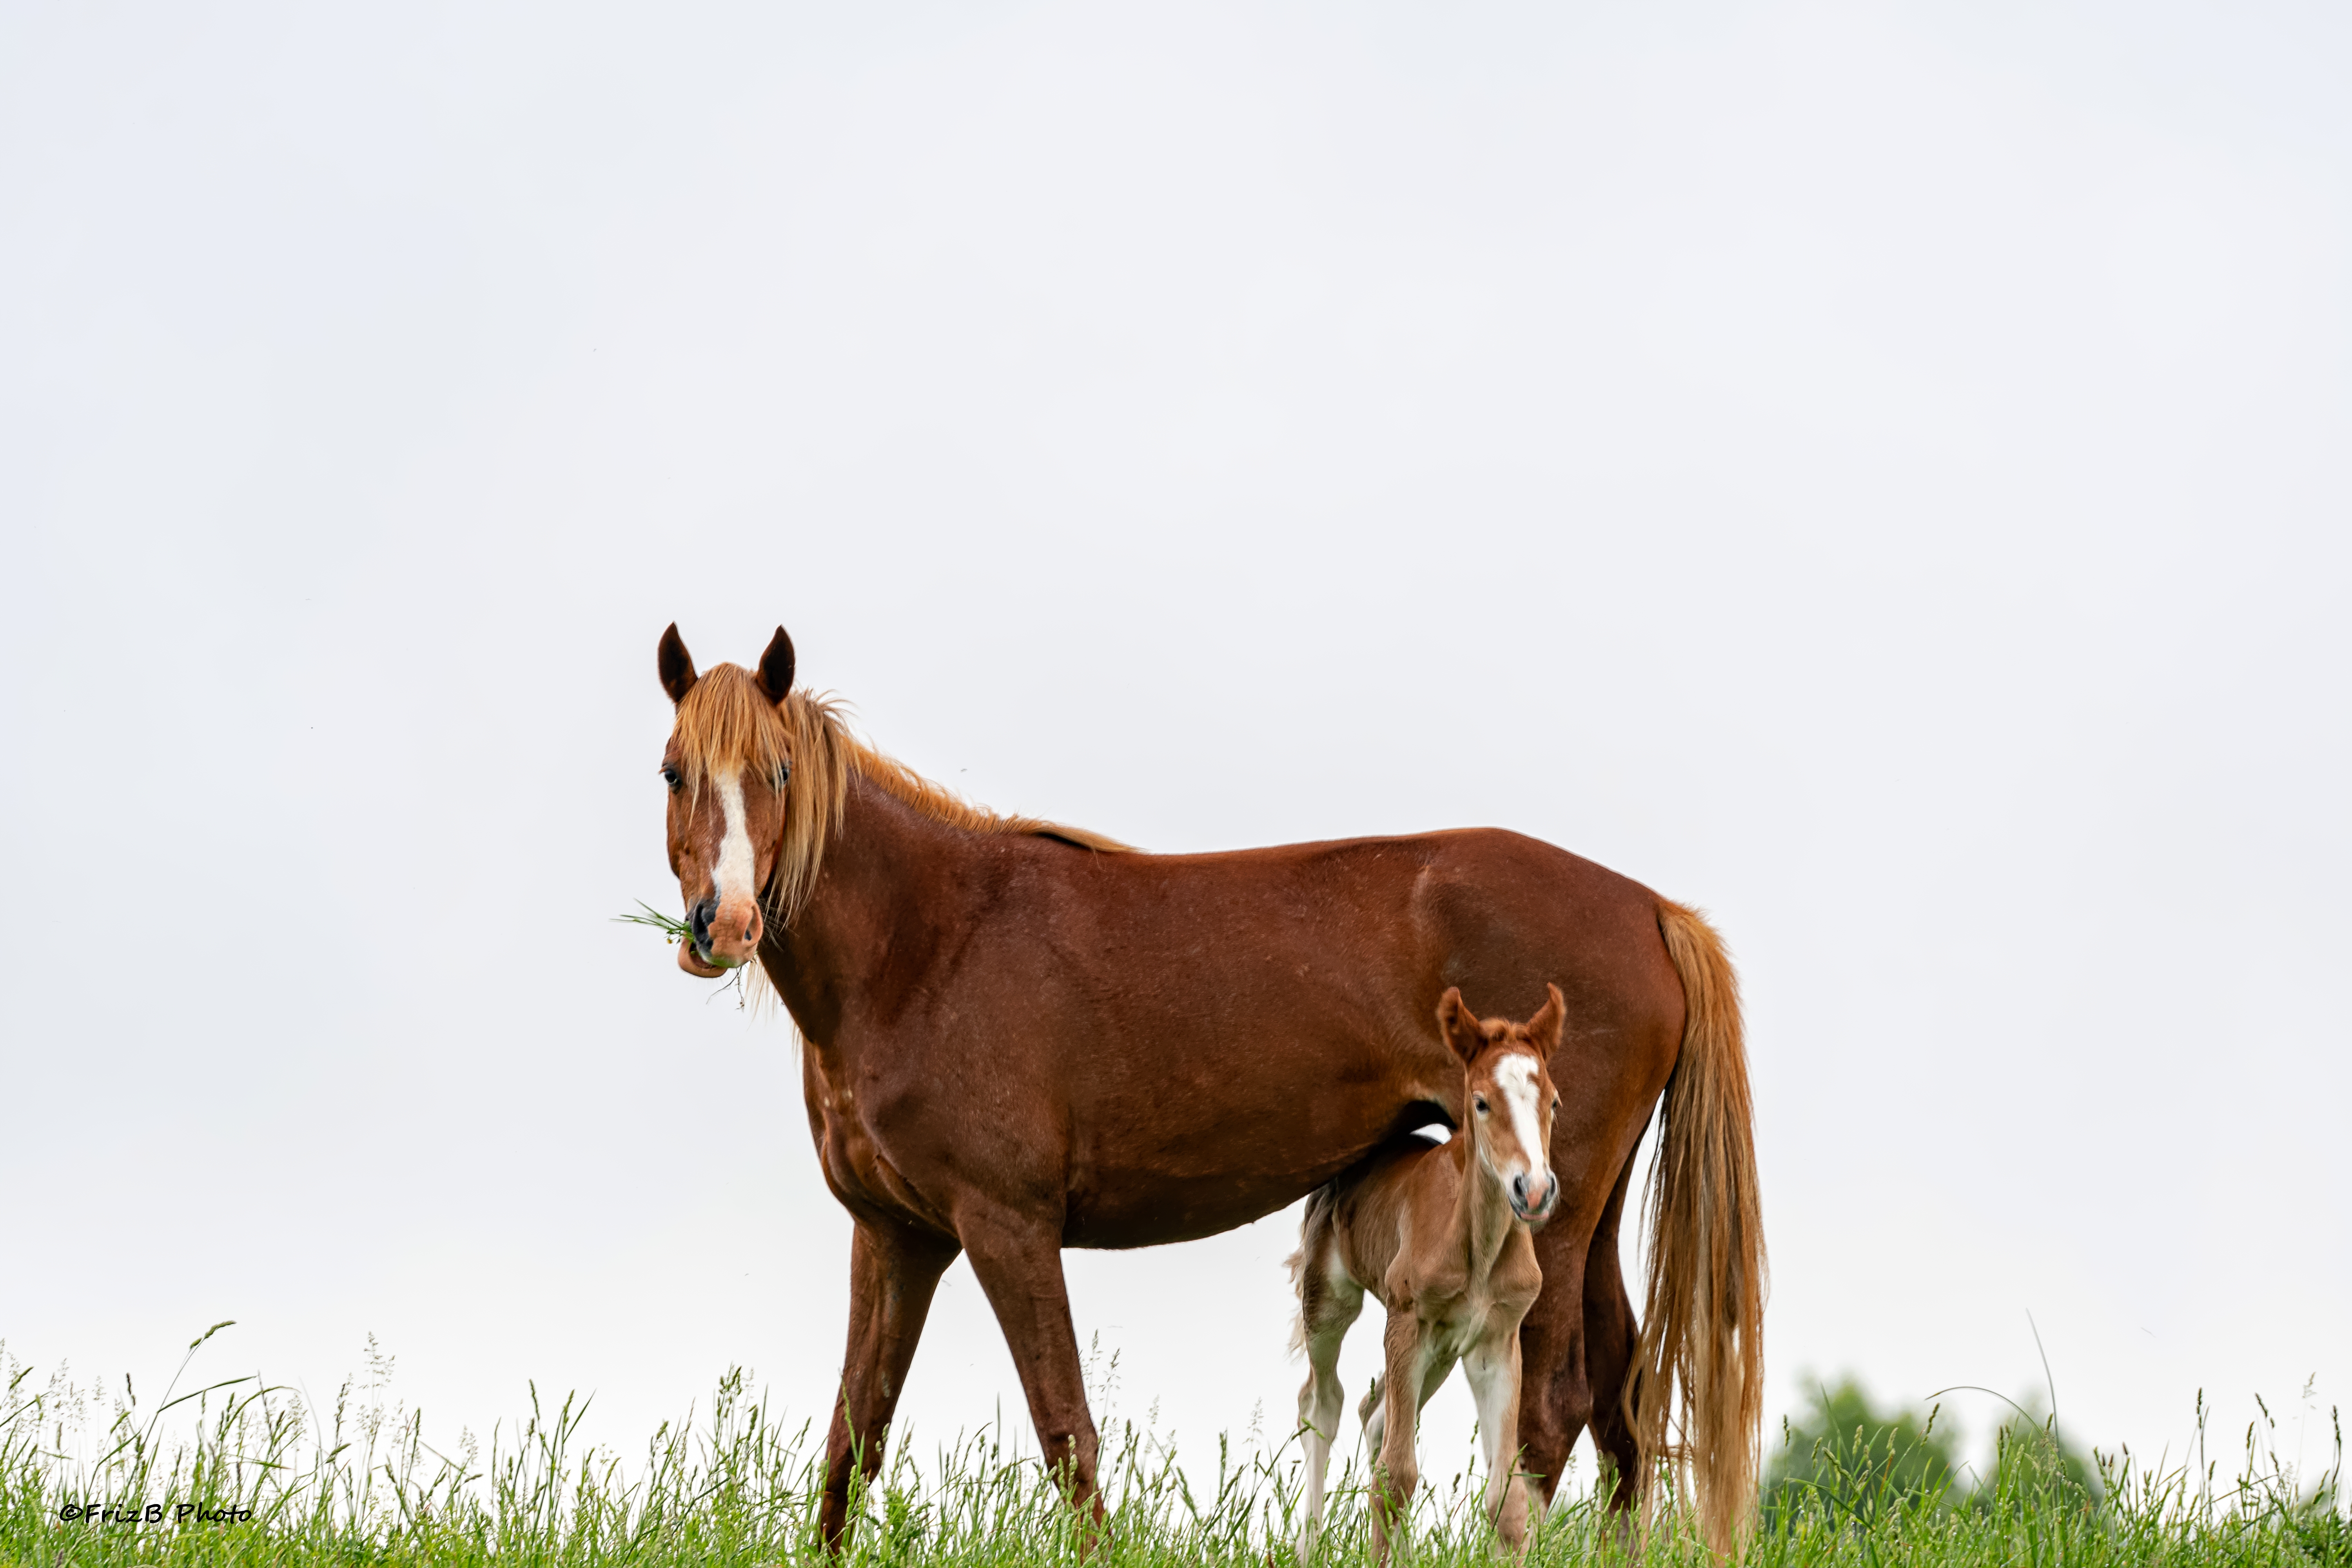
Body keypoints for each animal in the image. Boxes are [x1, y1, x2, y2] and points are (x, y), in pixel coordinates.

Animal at [1289, 987, 1562, 1561]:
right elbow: (1395, 1477)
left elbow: (1507, 1499)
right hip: (1333, 1303)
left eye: (1553, 1102)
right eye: (1481, 1102)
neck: (1479, 1250)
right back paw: (1308, 1548)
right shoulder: (1407, 1321)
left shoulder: (1496, 1341)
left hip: (1440, 1353)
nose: (1533, 1190)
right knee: (1323, 1402)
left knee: (1374, 1413)